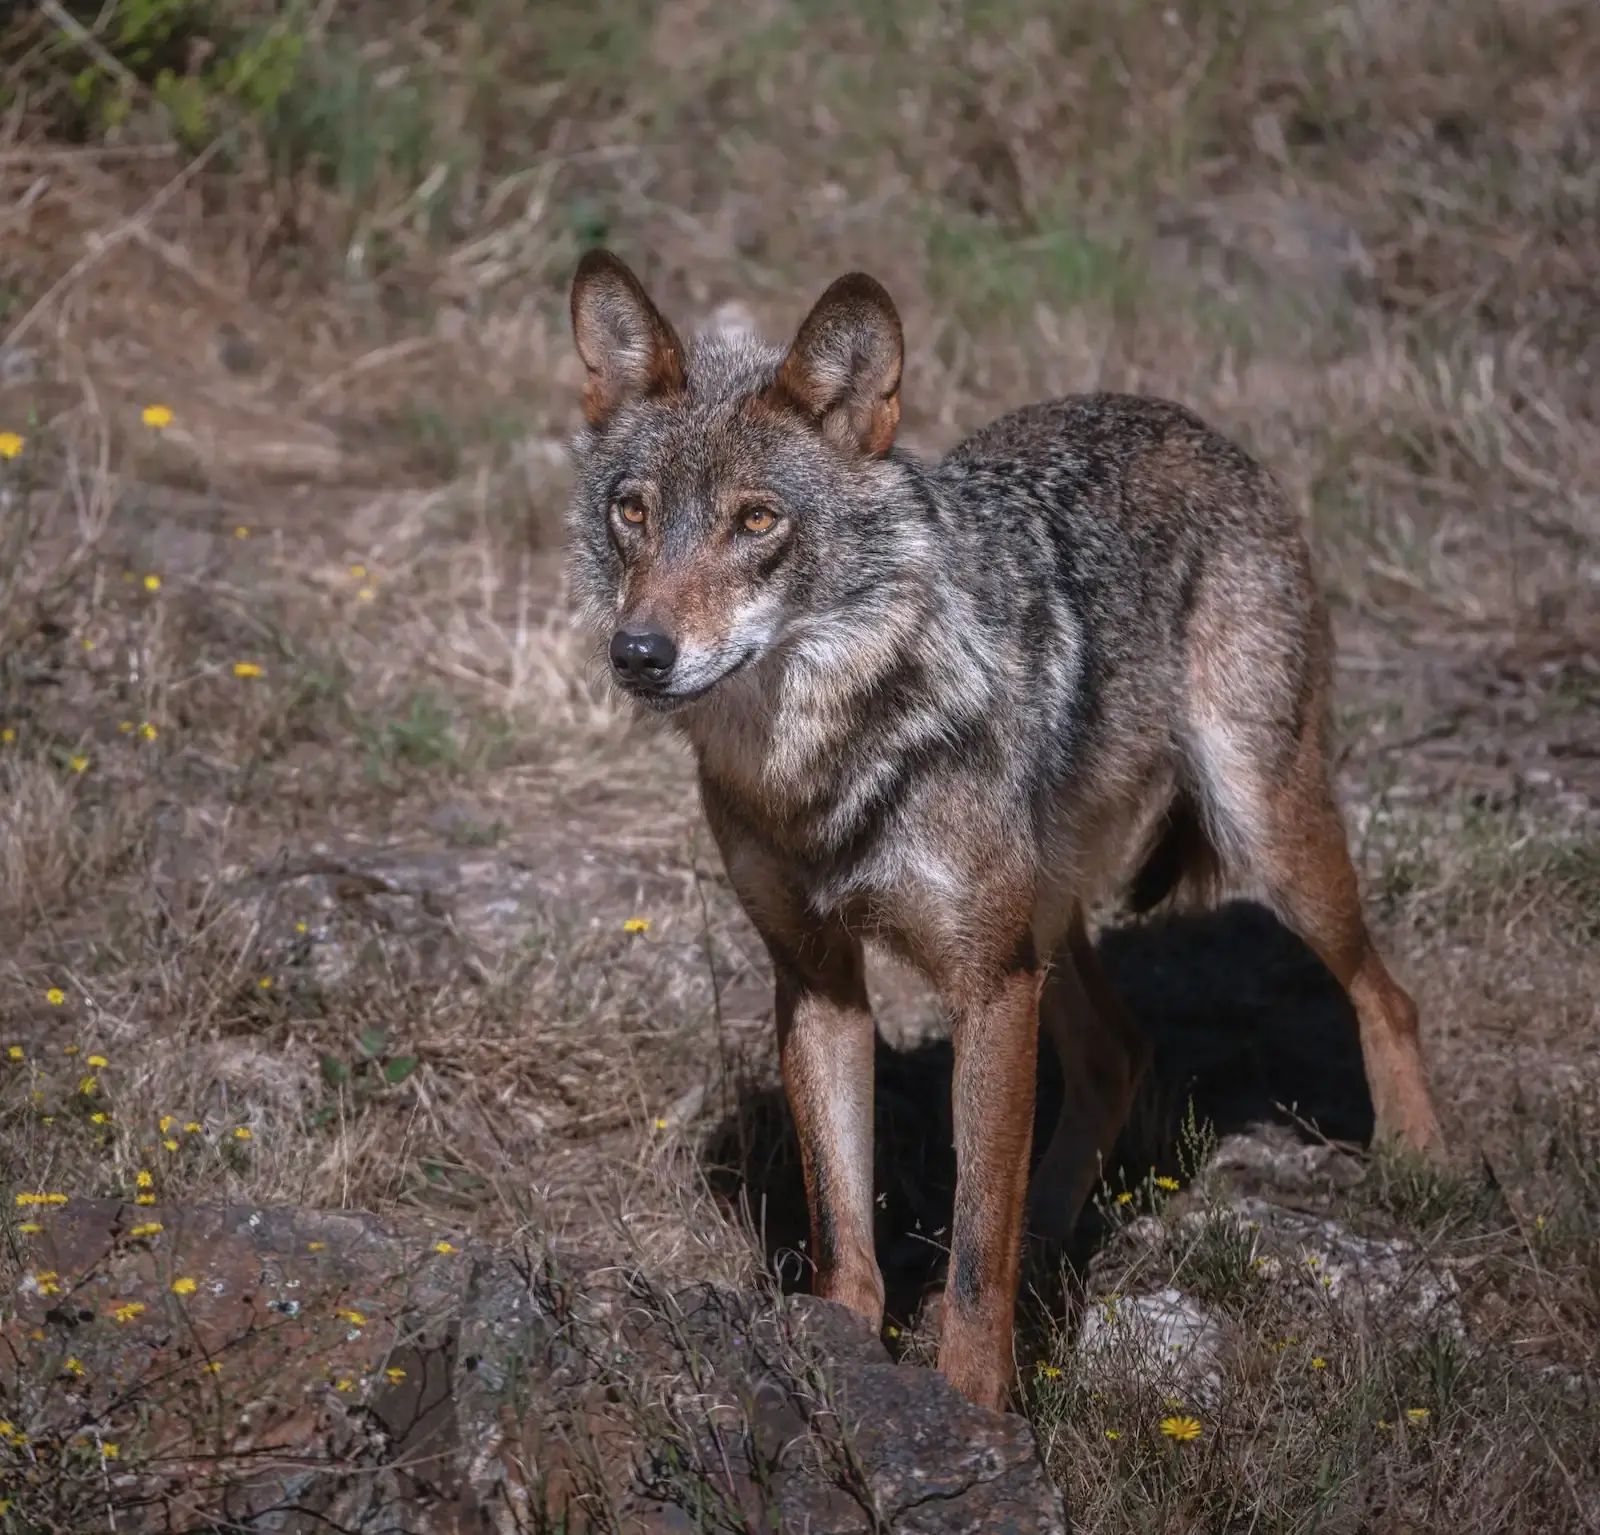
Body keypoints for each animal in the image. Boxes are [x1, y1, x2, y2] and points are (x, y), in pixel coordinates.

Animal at [564, 248, 1446, 1411]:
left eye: (755, 521)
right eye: (633, 511)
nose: (640, 652)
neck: (823, 765)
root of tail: (1196, 424)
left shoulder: (985, 984)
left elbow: (975, 1243)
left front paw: (975, 1404)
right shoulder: (819, 978)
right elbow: (843, 1215)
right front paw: (846, 1349)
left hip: (1258, 835)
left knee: (1385, 993)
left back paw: (1424, 1162)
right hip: (1049, 925)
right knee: (1120, 1051)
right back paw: (1051, 1242)